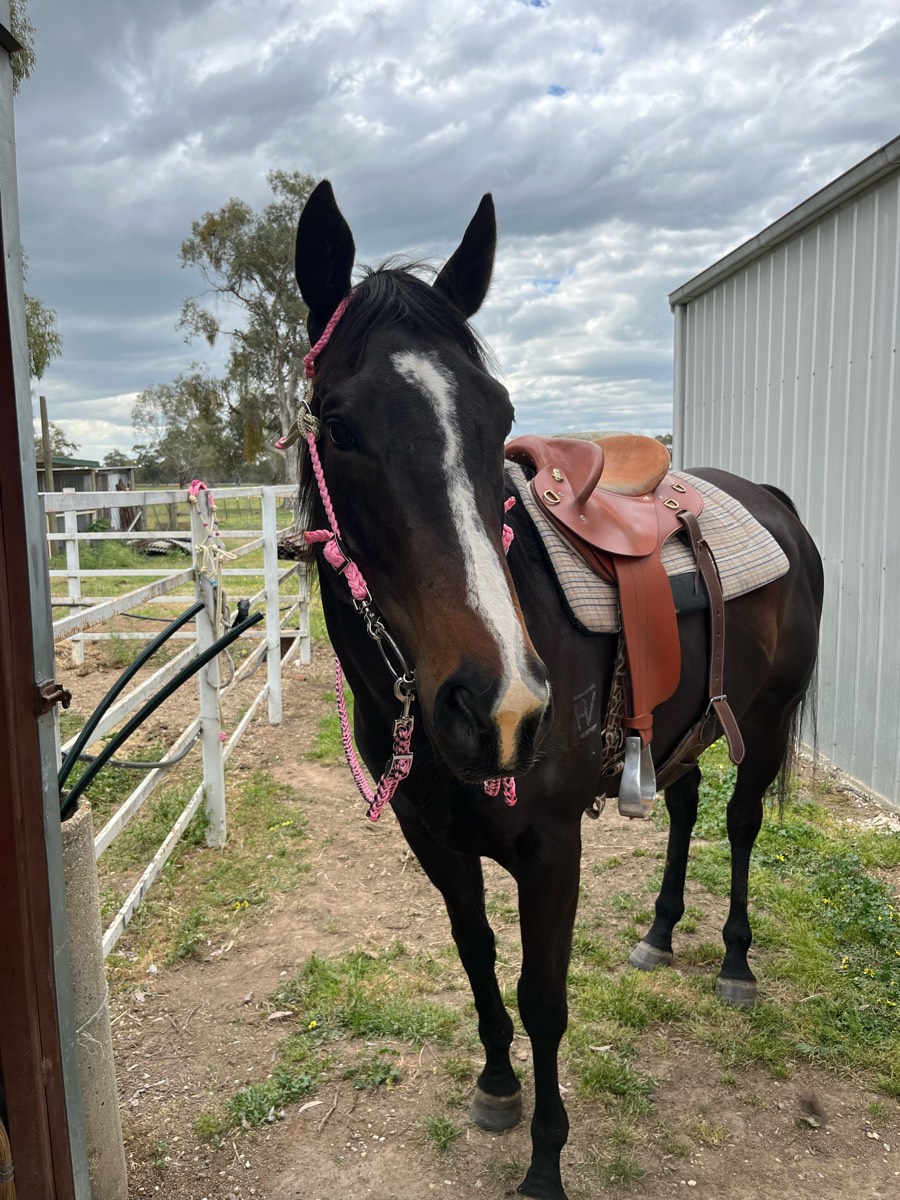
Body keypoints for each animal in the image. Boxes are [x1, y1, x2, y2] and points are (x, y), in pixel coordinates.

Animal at [290, 181, 824, 1200]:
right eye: (339, 426)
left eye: (498, 417)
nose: (500, 709)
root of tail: (776, 498)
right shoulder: (434, 843)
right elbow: (478, 958)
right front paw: (497, 1085)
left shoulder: (550, 850)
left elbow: (544, 999)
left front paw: (545, 1162)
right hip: (681, 729)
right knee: (687, 808)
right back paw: (660, 931)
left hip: (768, 720)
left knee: (740, 824)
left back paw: (734, 961)